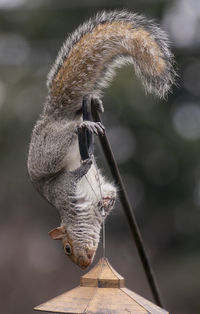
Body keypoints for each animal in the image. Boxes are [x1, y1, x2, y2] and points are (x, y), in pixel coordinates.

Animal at [27, 10, 175, 270]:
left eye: (66, 248)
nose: (84, 265)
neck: (80, 210)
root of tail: (49, 118)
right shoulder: (87, 189)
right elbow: (109, 192)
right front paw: (105, 201)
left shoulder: (64, 187)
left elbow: (76, 177)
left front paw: (97, 189)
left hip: (52, 148)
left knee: (74, 130)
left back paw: (87, 121)